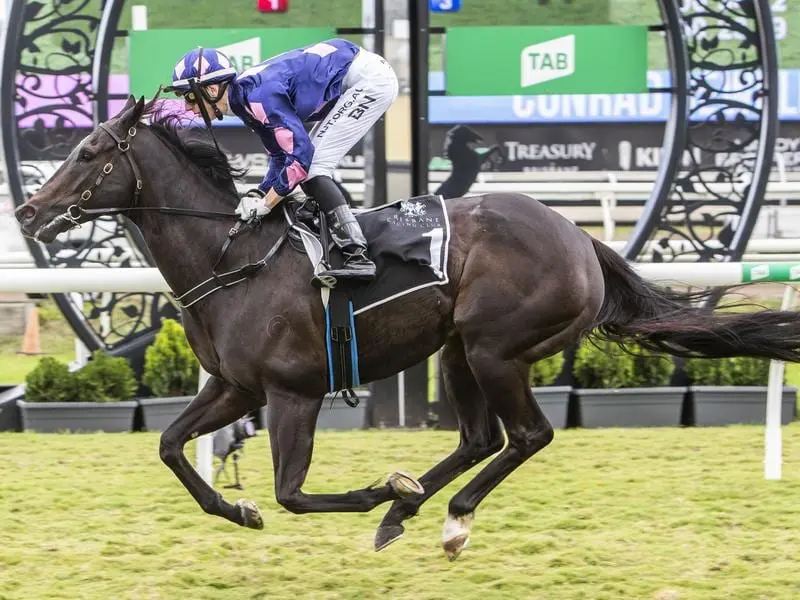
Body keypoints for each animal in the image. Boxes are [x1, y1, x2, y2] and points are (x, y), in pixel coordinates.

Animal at [17, 96, 800, 560]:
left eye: (89, 153)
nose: (27, 211)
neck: (232, 258)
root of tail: (581, 239)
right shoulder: (236, 387)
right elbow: (173, 447)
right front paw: (238, 509)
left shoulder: (293, 392)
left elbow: (292, 491)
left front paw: (373, 492)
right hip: (457, 349)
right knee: (480, 438)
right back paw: (410, 506)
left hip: (495, 347)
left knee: (527, 436)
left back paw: (444, 514)